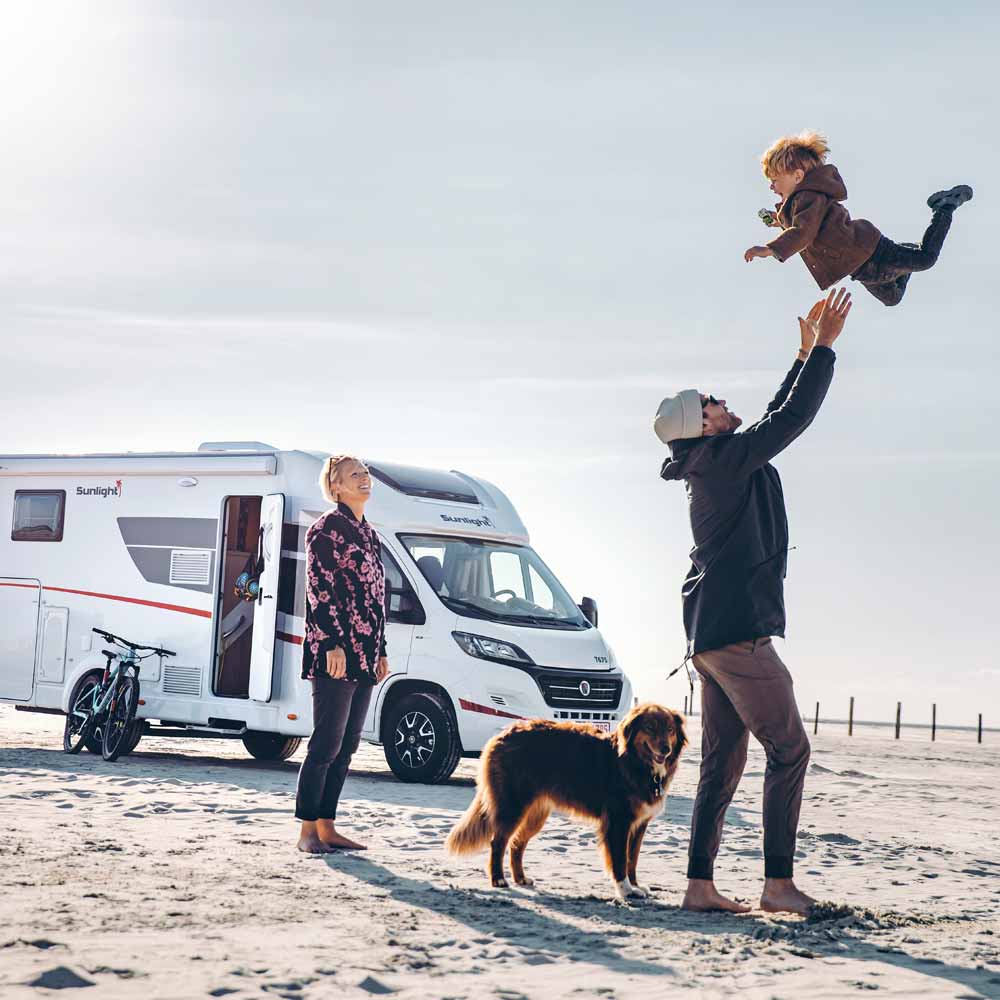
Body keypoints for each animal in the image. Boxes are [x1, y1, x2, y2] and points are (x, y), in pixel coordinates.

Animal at [448, 700, 688, 904]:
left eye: (670, 730)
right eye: (650, 727)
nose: (665, 749)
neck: (634, 762)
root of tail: (503, 734)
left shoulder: (639, 824)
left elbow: (632, 859)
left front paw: (636, 885)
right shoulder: (618, 822)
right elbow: (620, 860)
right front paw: (625, 890)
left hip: (535, 814)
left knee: (517, 843)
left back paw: (520, 878)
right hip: (512, 806)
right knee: (498, 842)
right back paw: (498, 879)